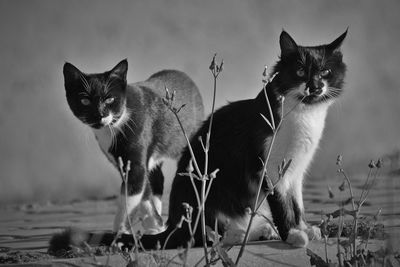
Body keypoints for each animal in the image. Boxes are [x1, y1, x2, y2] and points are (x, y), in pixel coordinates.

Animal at [65, 59, 206, 236]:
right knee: (156, 179)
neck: (115, 126)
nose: (99, 115)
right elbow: (143, 191)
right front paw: (155, 224)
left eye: (110, 100)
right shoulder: (123, 163)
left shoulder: (136, 160)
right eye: (85, 101)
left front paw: (119, 231)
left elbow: (130, 195)